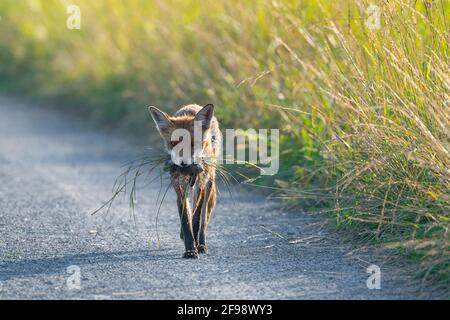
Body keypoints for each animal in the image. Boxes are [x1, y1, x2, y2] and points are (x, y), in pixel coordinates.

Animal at [149, 104, 222, 258]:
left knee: (203, 218)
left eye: (193, 143)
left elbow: (196, 217)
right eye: (173, 143)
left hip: (209, 181)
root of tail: (193, 105)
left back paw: (201, 243)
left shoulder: (201, 183)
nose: (183, 164)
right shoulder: (179, 186)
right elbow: (185, 219)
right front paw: (190, 248)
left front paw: (194, 245)